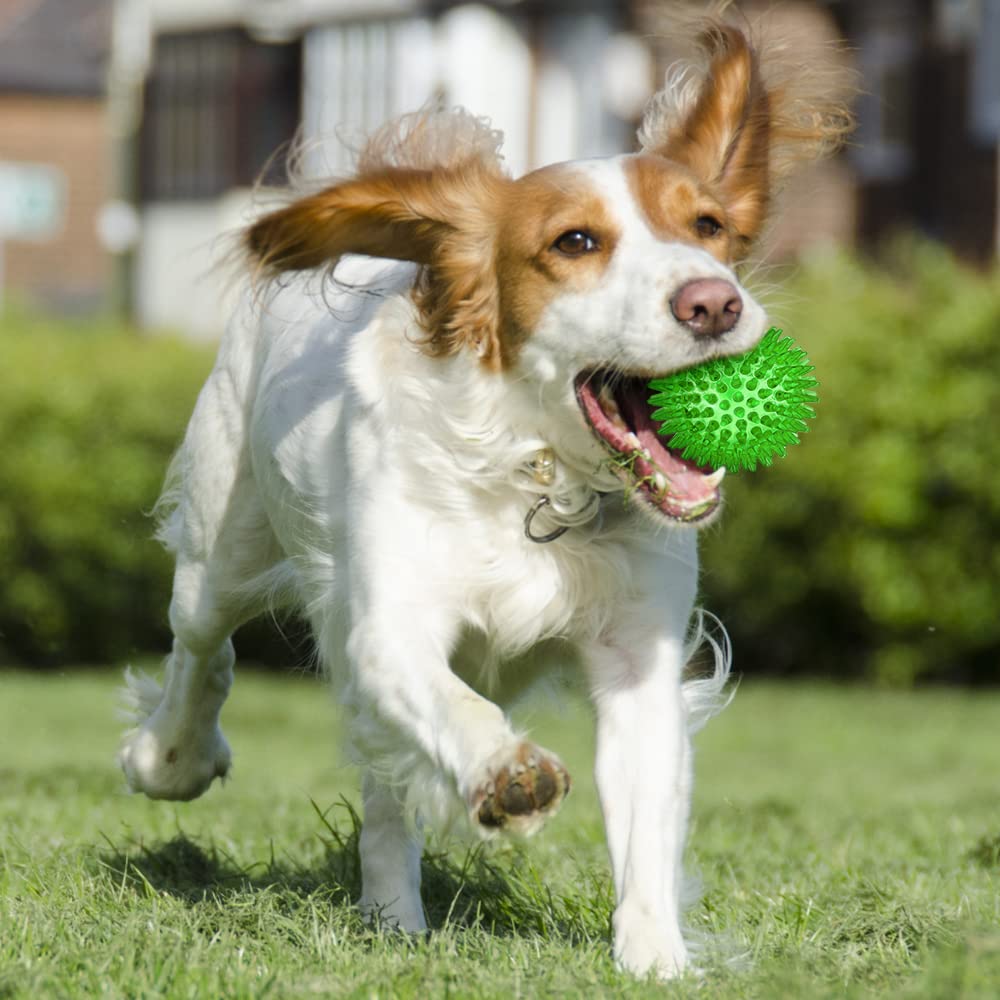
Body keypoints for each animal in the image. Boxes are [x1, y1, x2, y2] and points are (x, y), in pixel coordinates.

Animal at [117, 15, 852, 980]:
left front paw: (655, 958)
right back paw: (170, 760)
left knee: (381, 787)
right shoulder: (387, 627)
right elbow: (455, 708)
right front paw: (510, 774)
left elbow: (644, 825)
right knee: (201, 652)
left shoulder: (637, 660)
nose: (715, 303)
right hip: (221, 544)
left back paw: (392, 914)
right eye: (575, 243)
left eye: (709, 225)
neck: (538, 478)